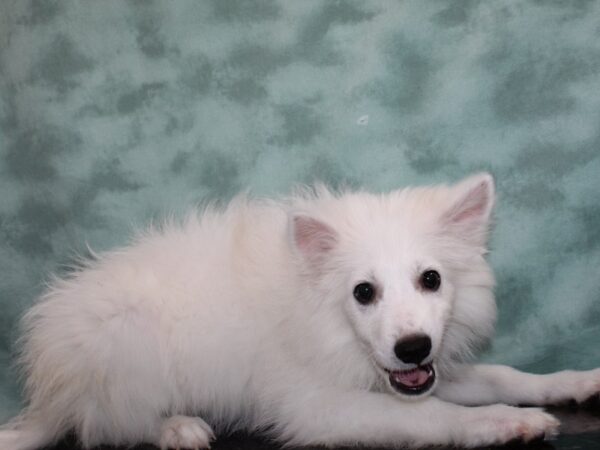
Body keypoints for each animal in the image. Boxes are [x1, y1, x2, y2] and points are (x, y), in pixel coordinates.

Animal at [1, 173, 600, 450]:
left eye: (431, 279)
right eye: (363, 292)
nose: (413, 348)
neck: (322, 321)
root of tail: (50, 392)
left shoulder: (417, 373)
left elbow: (504, 373)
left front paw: (575, 381)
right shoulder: (320, 409)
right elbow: (432, 416)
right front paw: (509, 422)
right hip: (126, 337)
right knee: (109, 422)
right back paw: (177, 427)